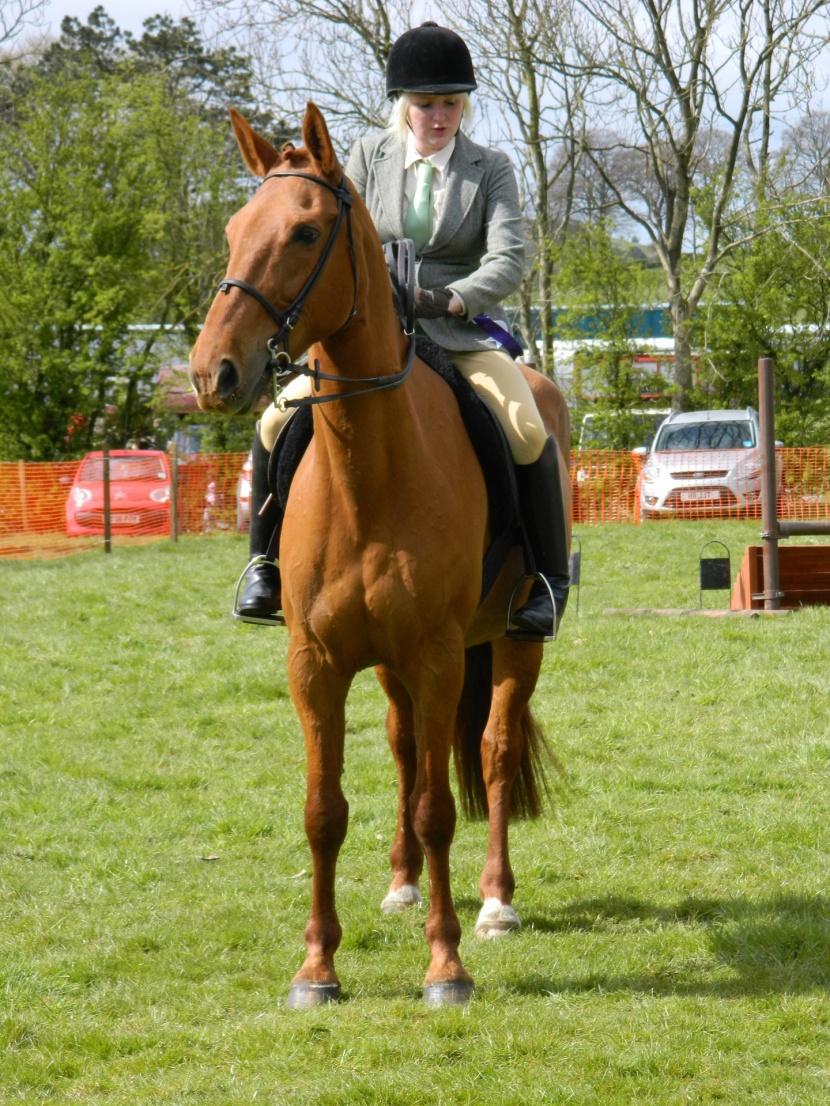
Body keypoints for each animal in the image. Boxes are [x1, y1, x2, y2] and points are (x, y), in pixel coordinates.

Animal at [188, 105, 571, 1013]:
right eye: (235, 230)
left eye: (304, 233)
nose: (212, 373)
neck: (370, 469)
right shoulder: (315, 661)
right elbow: (323, 811)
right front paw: (317, 970)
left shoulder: (437, 654)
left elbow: (439, 807)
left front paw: (447, 966)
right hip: (393, 665)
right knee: (403, 748)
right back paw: (401, 885)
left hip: (512, 642)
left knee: (494, 751)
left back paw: (496, 903)